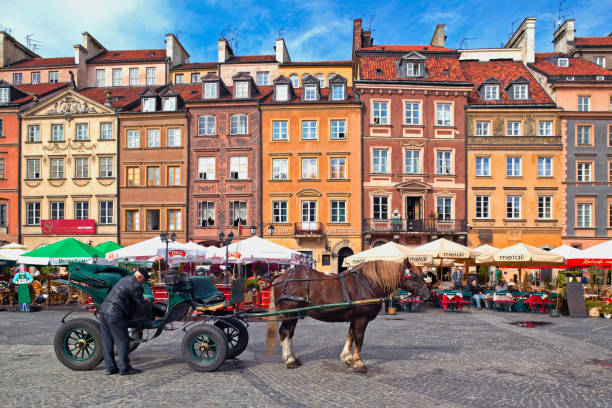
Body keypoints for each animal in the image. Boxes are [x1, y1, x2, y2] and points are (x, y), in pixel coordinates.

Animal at [264, 260, 430, 372]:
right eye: (414, 276)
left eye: (422, 275)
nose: (427, 294)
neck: (367, 283)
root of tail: (280, 278)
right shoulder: (361, 319)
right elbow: (359, 339)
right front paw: (359, 362)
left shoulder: (354, 318)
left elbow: (350, 336)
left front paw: (347, 357)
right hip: (289, 314)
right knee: (284, 333)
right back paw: (289, 360)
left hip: (294, 316)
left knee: (289, 334)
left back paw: (292, 357)